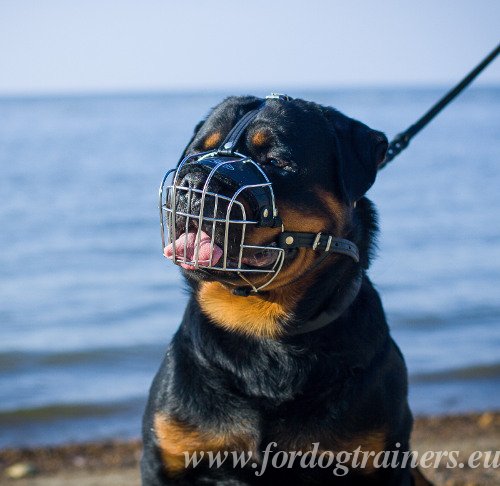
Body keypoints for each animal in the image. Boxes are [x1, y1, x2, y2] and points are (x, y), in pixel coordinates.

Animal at [142, 96, 434, 486]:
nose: (191, 181)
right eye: (197, 152)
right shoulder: (165, 460)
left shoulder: (382, 462)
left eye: (276, 161)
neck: (262, 331)